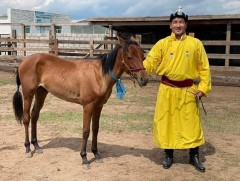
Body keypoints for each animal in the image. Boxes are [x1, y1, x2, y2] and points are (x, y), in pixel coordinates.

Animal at [12, 36, 148, 169]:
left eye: (143, 56)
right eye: (129, 56)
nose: (144, 79)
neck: (99, 75)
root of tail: (23, 62)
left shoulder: (98, 106)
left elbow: (95, 129)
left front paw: (96, 154)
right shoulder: (88, 106)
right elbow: (86, 131)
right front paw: (84, 158)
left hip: (41, 93)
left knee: (34, 116)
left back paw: (36, 146)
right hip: (28, 94)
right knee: (26, 118)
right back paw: (28, 148)